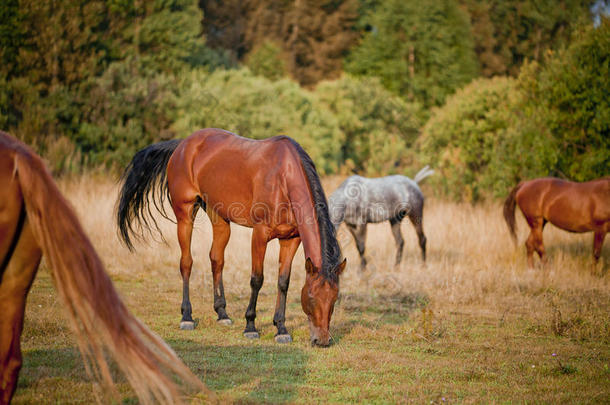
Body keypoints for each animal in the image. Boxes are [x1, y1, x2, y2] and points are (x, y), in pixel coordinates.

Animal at [116, 128, 344, 346]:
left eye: (334, 300)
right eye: (311, 298)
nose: (322, 340)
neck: (283, 179)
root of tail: (183, 145)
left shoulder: (291, 239)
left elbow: (283, 282)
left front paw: (281, 329)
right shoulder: (260, 235)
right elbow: (257, 279)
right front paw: (250, 326)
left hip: (219, 218)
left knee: (216, 259)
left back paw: (222, 313)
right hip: (185, 214)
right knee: (186, 263)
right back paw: (187, 317)